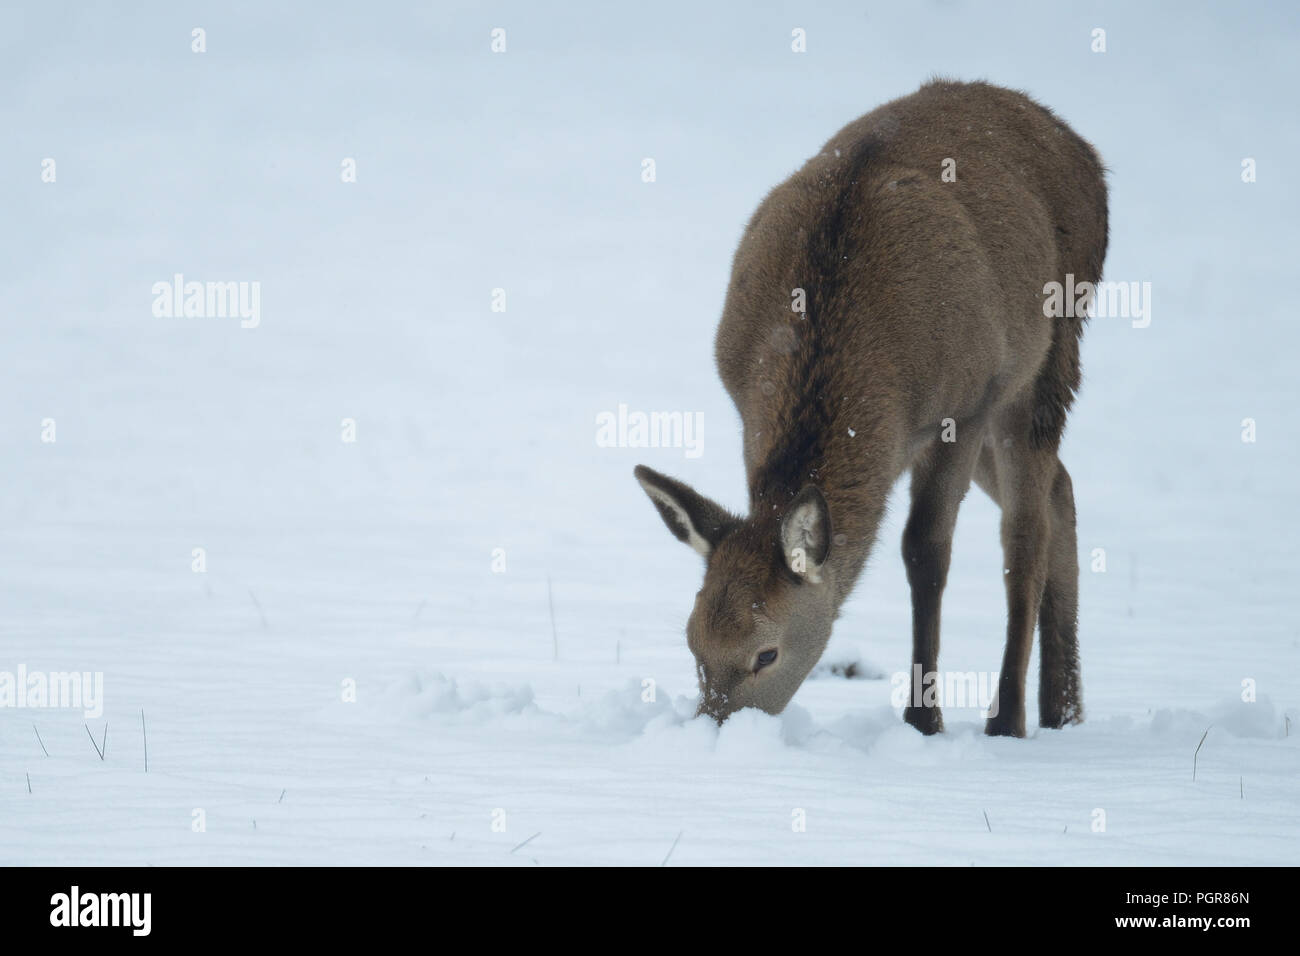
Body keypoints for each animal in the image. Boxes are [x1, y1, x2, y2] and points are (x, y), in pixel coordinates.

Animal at [635, 80, 1108, 737]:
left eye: (766, 653)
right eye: (692, 643)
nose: (715, 731)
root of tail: (1080, 147)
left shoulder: (967, 401)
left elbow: (925, 551)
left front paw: (923, 718)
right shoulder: (744, 408)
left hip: (1050, 351)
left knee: (1024, 532)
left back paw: (1010, 717)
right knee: (1061, 488)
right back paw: (1063, 709)